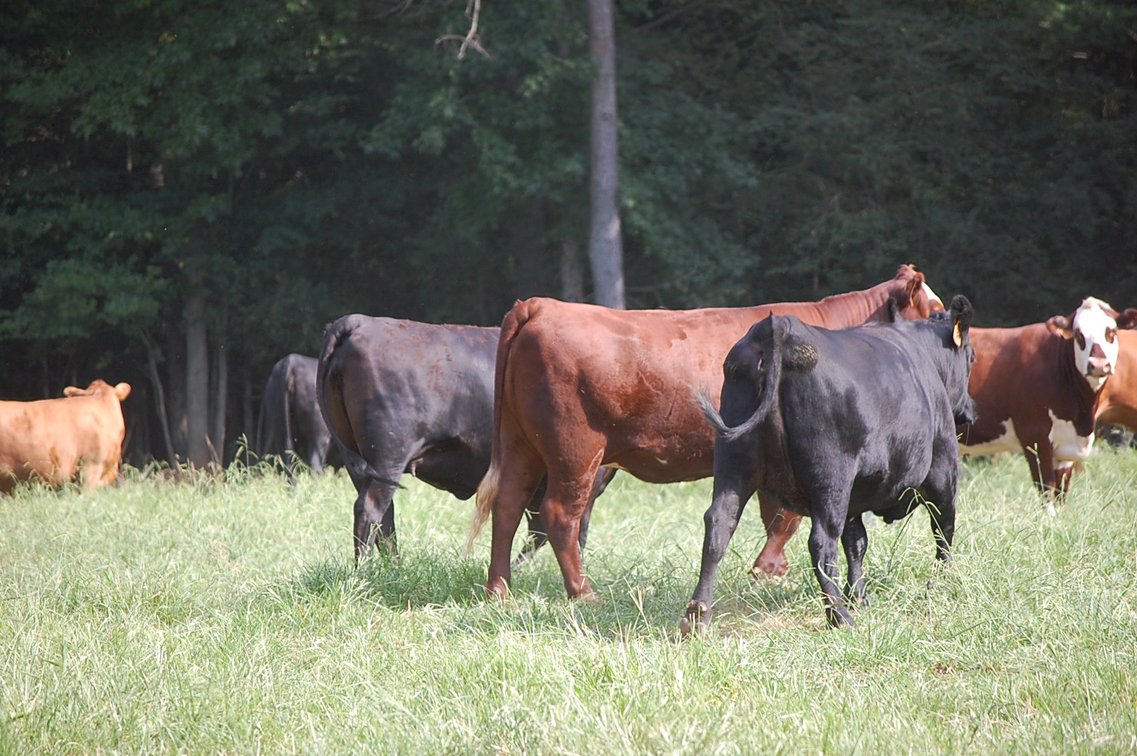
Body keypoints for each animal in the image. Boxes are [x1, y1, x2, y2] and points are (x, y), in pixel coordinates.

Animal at [317, 315, 614, 561]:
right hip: (388, 455)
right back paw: (365, 569)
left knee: (384, 516)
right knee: (371, 510)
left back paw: (393, 567)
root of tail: (361, 321)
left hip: (363, 460)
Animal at [467, 264, 946, 601]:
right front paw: (768, 572)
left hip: (521, 444)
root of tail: (541, 304)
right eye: (937, 311)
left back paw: (499, 591)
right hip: (576, 452)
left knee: (507, 504)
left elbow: (775, 517)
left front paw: (771, 573)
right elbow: (785, 519)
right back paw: (583, 593)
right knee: (559, 516)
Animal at [680, 297, 976, 631]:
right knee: (822, 543)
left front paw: (858, 594)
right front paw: (945, 580)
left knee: (719, 526)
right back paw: (839, 615)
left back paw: (696, 616)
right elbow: (943, 530)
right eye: (972, 357)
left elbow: (856, 542)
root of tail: (780, 325)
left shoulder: (855, 496)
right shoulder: (943, 472)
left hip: (733, 465)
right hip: (831, 475)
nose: (970, 408)